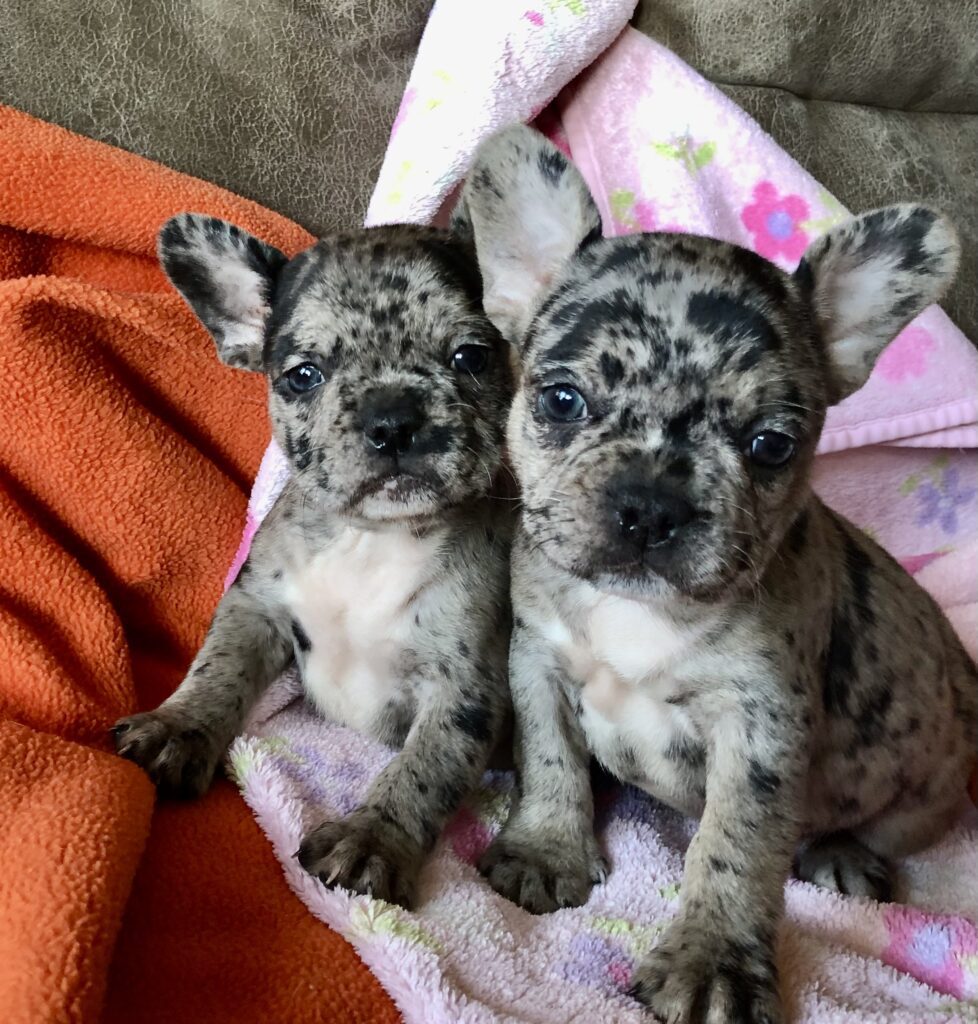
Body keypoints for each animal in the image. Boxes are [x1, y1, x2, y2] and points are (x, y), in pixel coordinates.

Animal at [112, 211, 512, 909]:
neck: (372, 536)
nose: (392, 418)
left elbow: (424, 767)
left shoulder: (466, 686)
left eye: (471, 358)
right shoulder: (255, 607)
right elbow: (218, 669)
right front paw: (178, 727)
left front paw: (373, 838)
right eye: (304, 375)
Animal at [458, 128, 978, 1024]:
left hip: (929, 788)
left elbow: (734, 844)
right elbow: (550, 758)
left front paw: (713, 958)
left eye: (771, 445)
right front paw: (546, 846)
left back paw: (843, 855)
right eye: (561, 400)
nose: (650, 504)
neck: (638, 613)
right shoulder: (538, 664)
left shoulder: (760, 727)